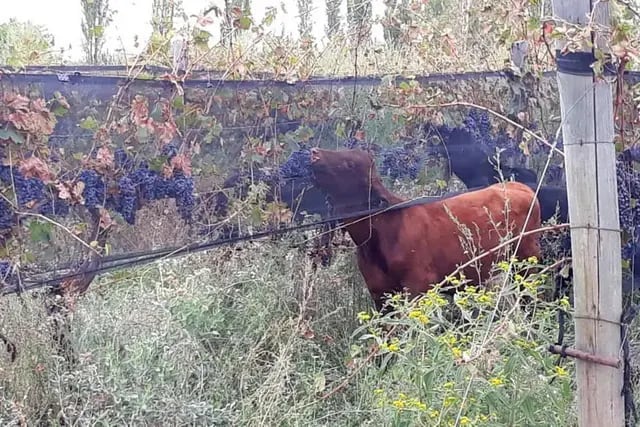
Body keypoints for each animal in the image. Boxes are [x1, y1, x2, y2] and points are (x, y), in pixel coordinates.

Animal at [308, 147, 544, 310]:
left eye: (349, 163)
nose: (314, 153)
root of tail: (519, 186)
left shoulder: (419, 286)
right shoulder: (380, 294)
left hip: (526, 261)